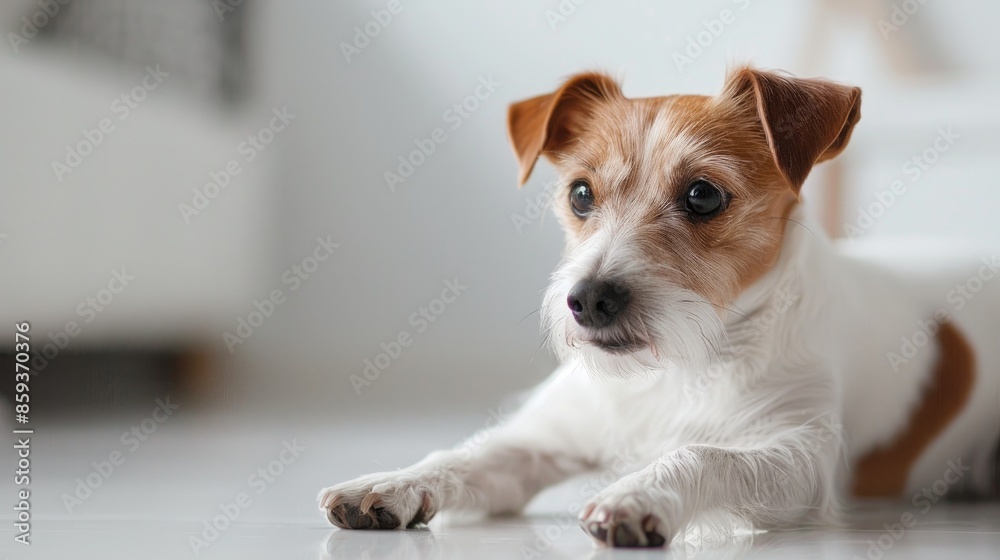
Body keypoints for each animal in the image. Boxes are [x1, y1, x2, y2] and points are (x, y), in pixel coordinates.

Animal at [318, 65, 1000, 548]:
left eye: (702, 196)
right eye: (580, 194)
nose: (588, 299)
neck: (671, 369)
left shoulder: (799, 458)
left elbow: (704, 452)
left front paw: (639, 495)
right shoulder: (538, 439)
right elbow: (463, 455)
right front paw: (393, 482)